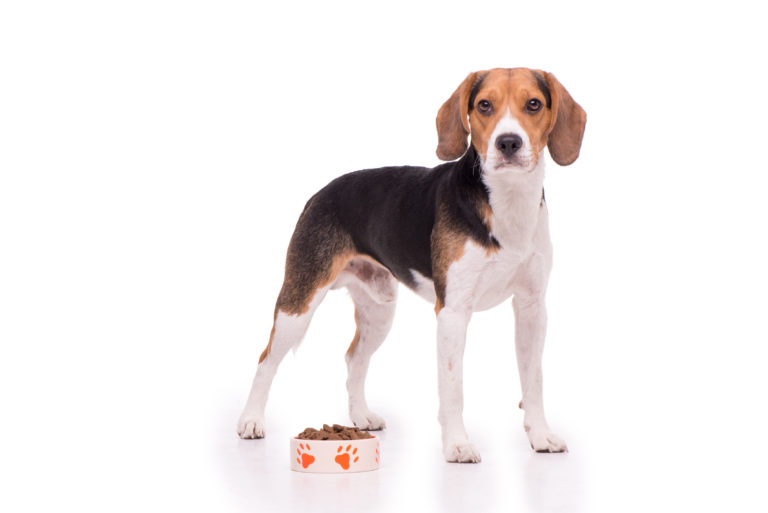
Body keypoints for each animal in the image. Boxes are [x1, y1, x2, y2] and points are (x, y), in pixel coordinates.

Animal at [240, 66, 588, 462]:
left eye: (534, 104)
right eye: (484, 105)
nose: (508, 143)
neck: (507, 202)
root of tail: (322, 192)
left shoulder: (532, 308)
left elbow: (534, 381)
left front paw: (541, 435)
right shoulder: (453, 312)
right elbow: (453, 387)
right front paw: (457, 444)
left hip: (379, 310)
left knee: (354, 358)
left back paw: (360, 416)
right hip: (298, 303)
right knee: (265, 359)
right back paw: (251, 421)